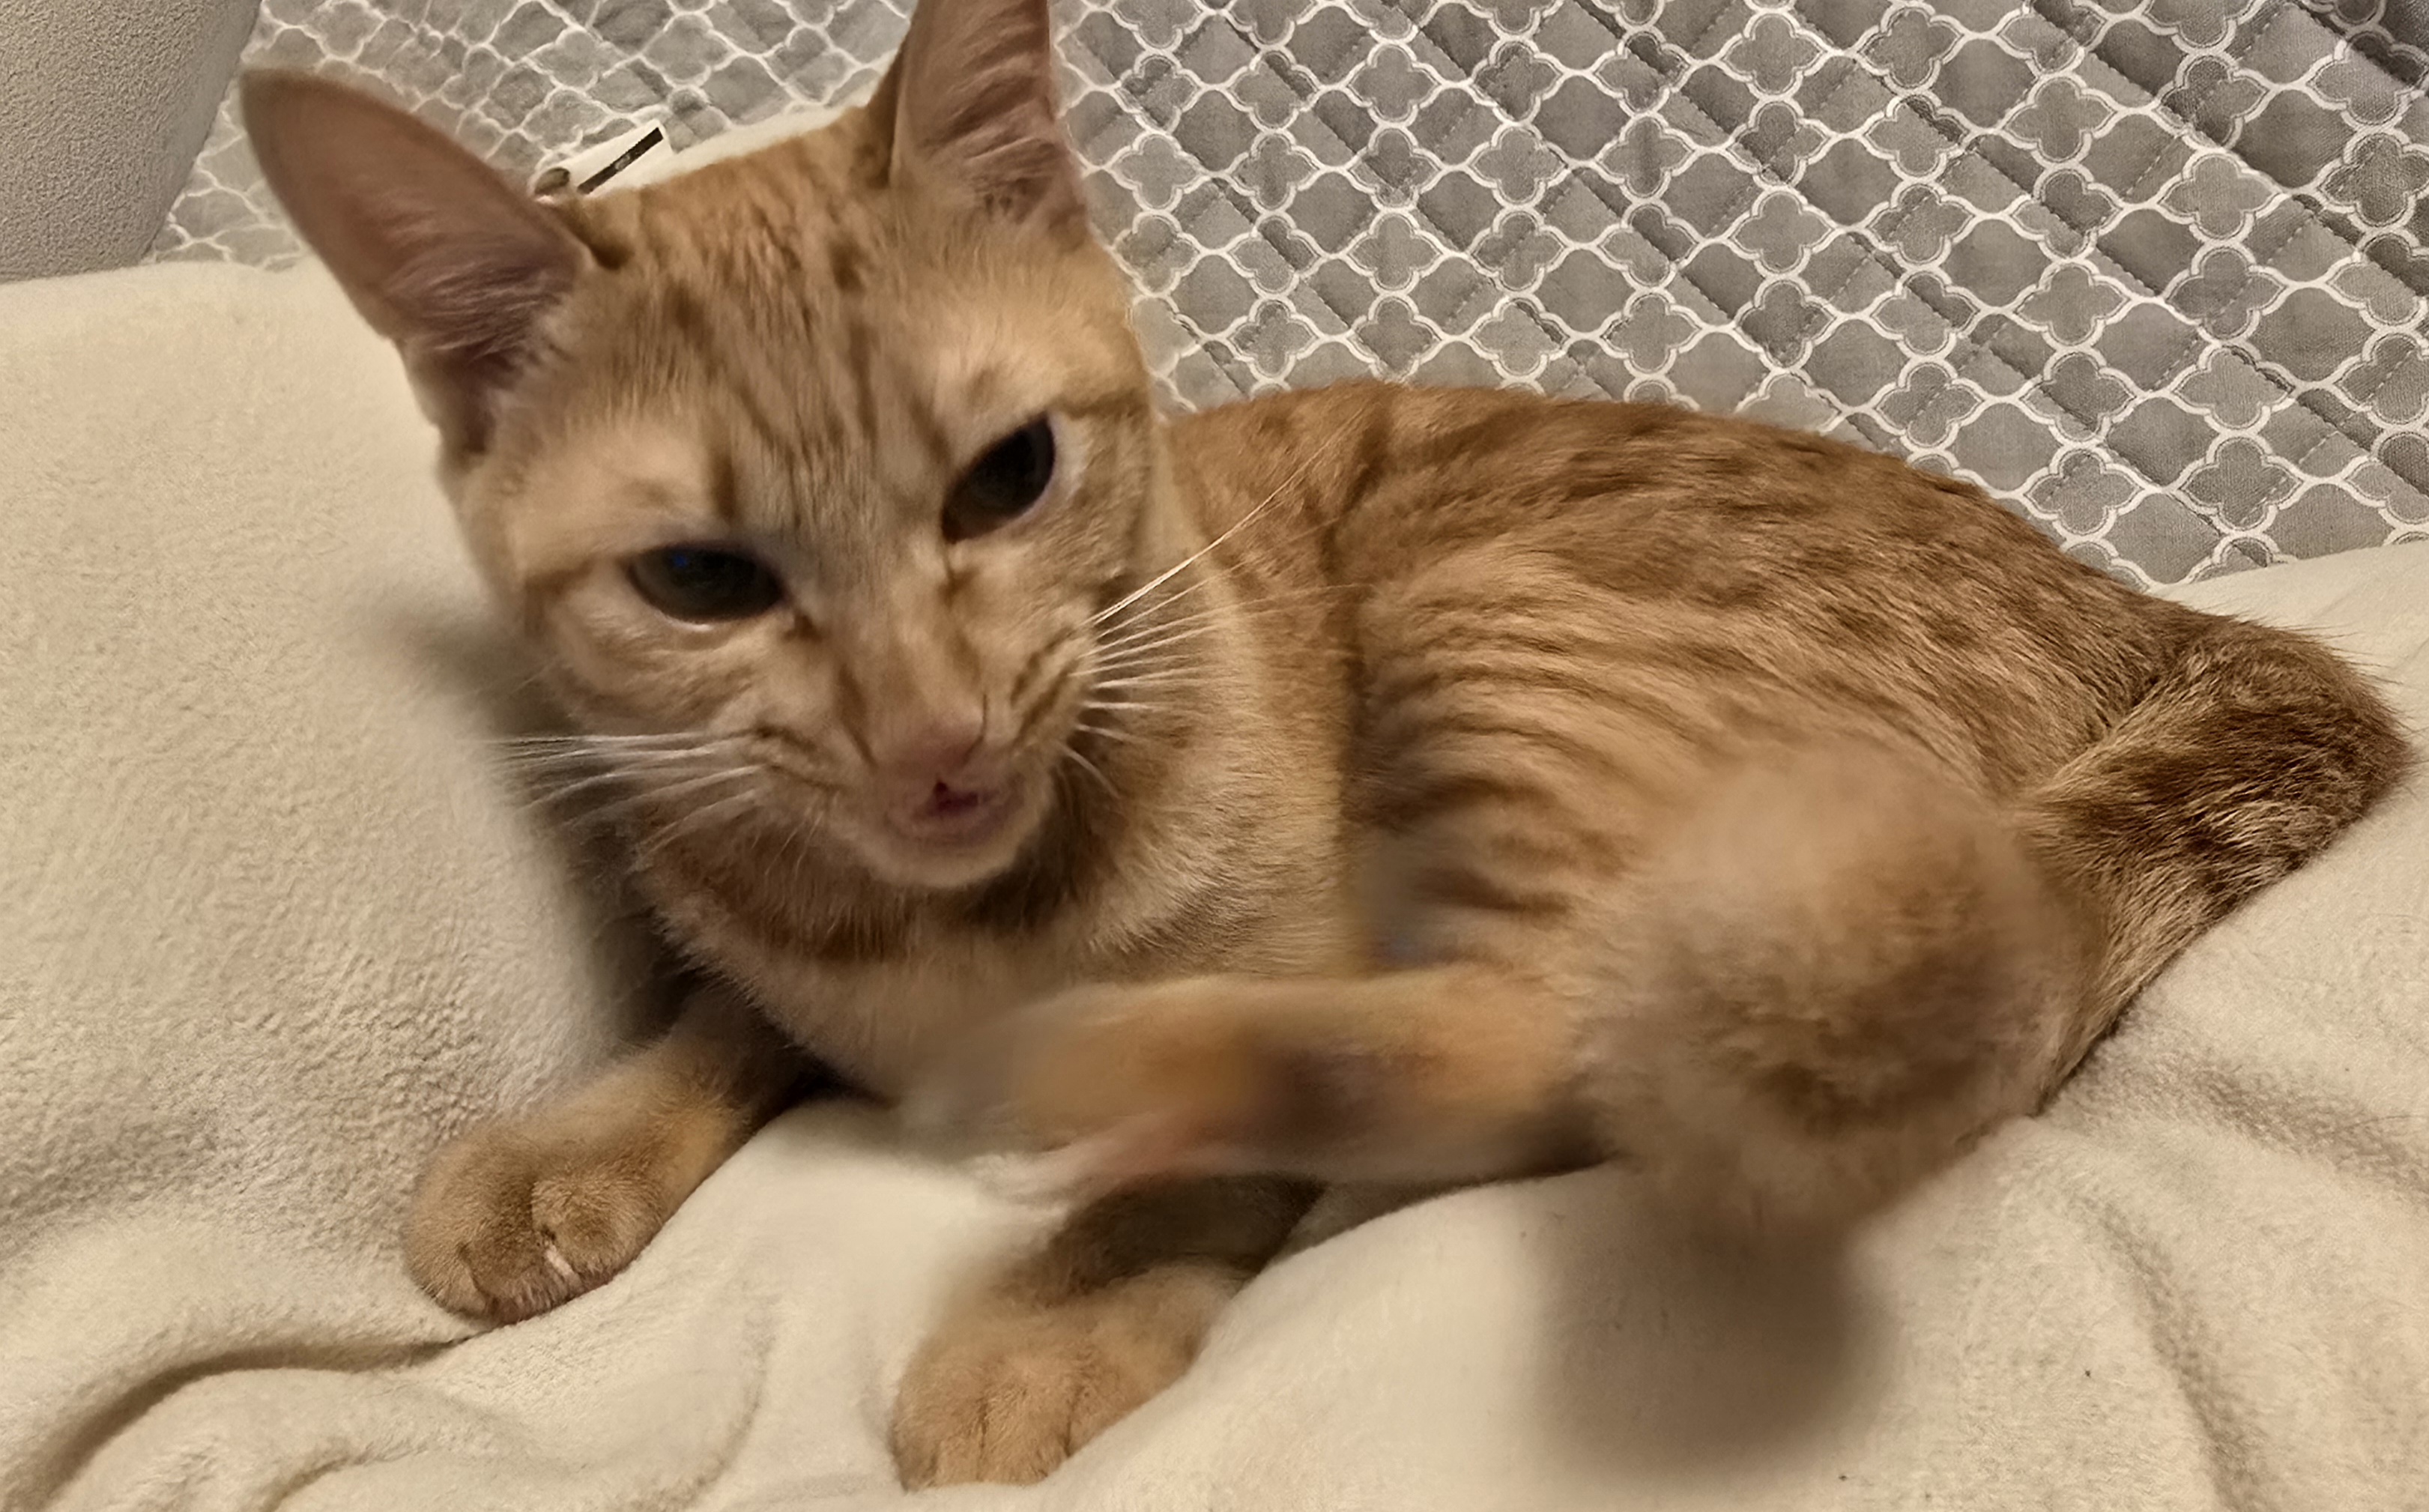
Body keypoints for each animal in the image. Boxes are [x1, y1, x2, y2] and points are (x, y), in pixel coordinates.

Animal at [240, 0, 2408, 1487]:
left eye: (1008, 475)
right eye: (700, 578)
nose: (933, 735)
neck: (954, 926)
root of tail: (2167, 618)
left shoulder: (1311, 930)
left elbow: (1206, 1153)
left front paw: (1059, 1308)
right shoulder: (781, 935)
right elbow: (726, 1011)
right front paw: (567, 1146)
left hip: (1492, 611)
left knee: (1575, 1046)